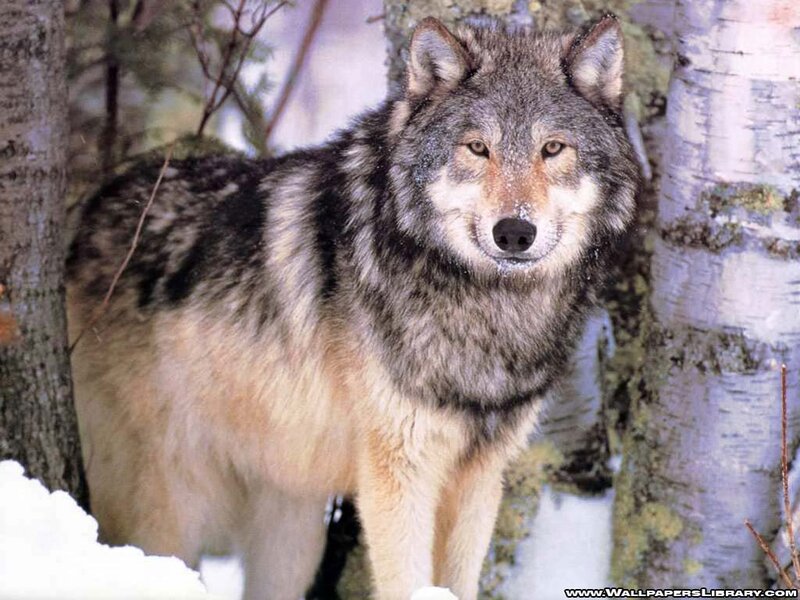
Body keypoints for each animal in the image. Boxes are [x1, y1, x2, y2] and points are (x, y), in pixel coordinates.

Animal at [67, 14, 638, 600]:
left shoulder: (480, 475)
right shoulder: (398, 470)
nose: (515, 232)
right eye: (477, 148)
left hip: (290, 532)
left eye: (553, 148)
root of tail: (89, 216)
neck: (487, 308)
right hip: (169, 513)